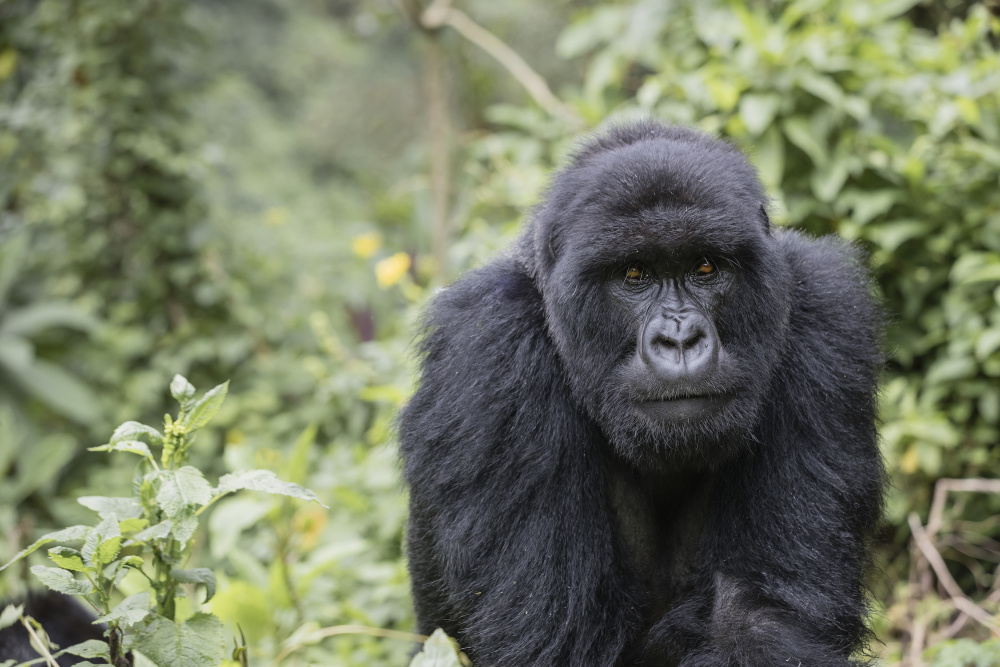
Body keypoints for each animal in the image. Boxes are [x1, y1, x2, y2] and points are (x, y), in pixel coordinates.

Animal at [398, 121, 884, 667]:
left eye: (705, 267)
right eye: (634, 274)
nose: (680, 340)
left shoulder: (826, 312)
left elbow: (759, 619)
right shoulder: (489, 347)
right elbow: (554, 639)